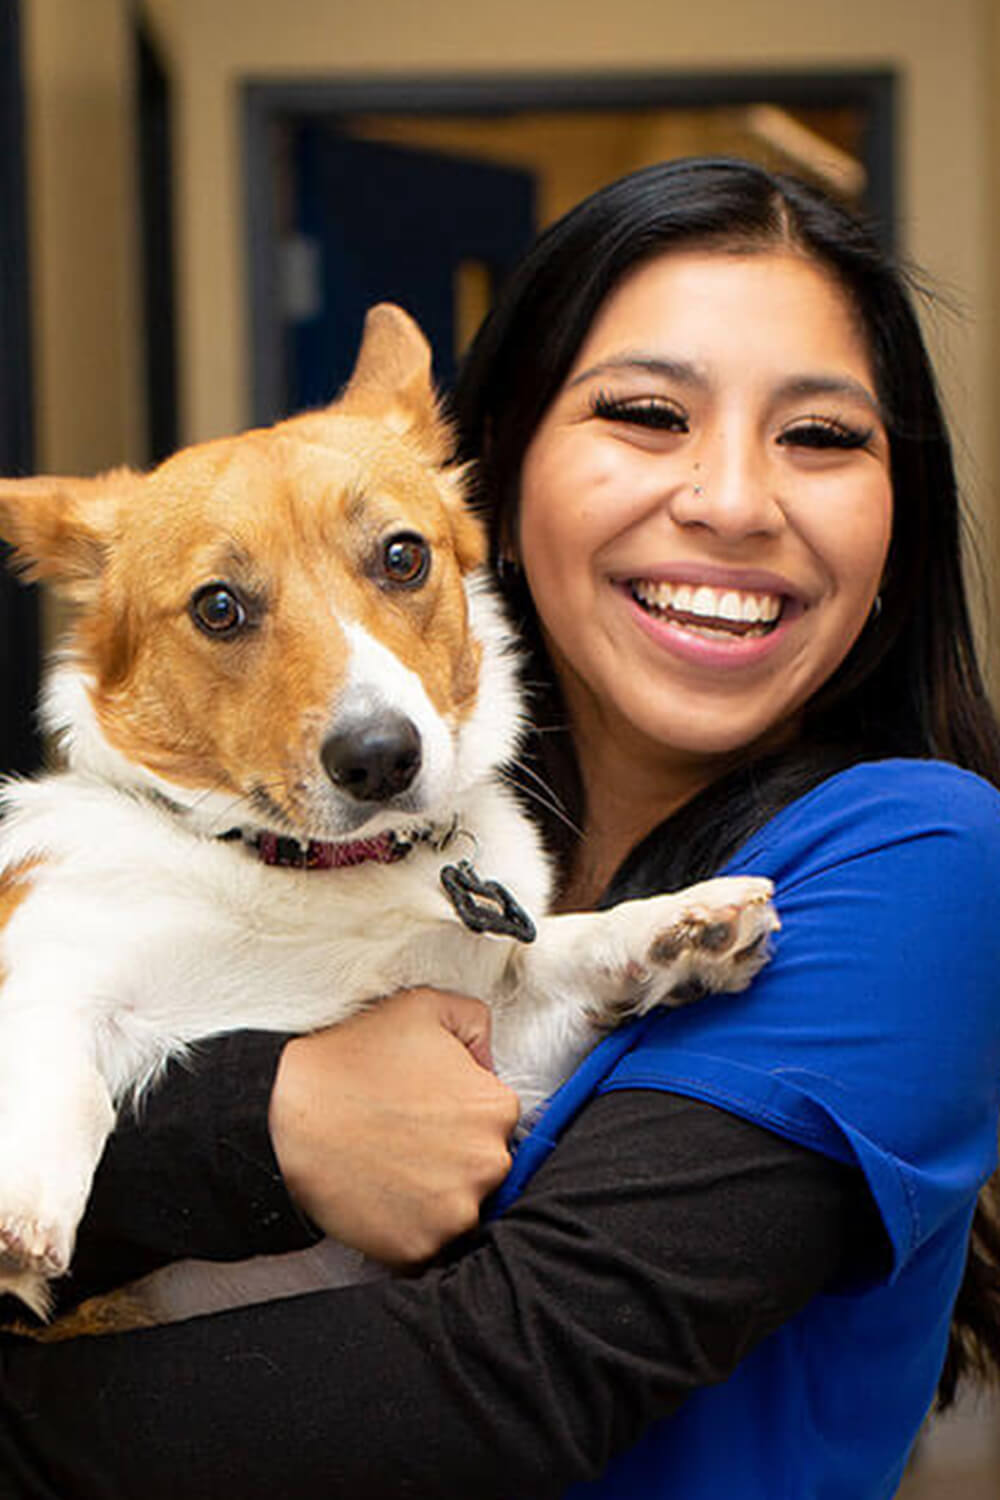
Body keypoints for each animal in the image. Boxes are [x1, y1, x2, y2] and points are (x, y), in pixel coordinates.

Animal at [0, 304, 779, 1326]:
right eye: (218, 607)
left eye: (403, 556)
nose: (379, 757)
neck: (319, 872)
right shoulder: (51, 947)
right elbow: (55, 1047)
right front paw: (22, 1198)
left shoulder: (494, 1043)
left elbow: (563, 951)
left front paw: (678, 925)